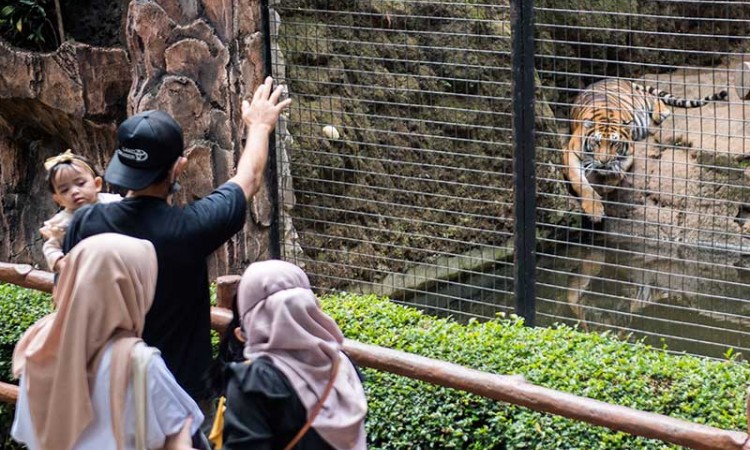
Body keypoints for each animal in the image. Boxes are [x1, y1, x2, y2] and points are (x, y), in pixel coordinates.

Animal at [568, 79, 732, 223]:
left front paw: (608, 185)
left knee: (655, 98)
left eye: (615, 143)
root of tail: (615, 78)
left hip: (641, 99)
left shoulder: (630, 151)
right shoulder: (570, 153)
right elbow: (581, 183)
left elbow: (620, 170)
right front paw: (595, 211)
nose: (603, 161)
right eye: (596, 142)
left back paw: (661, 113)